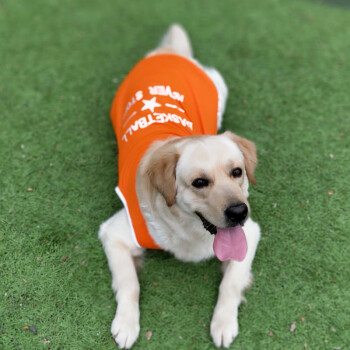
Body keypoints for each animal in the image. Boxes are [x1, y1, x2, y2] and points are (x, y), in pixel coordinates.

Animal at [98, 23, 260, 348]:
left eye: (237, 172)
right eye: (199, 182)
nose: (239, 212)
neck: (190, 231)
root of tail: (170, 53)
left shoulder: (250, 233)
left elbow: (231, 283)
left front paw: (224, 322)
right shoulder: (113, 233)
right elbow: (129, 283)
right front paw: (126, 323)